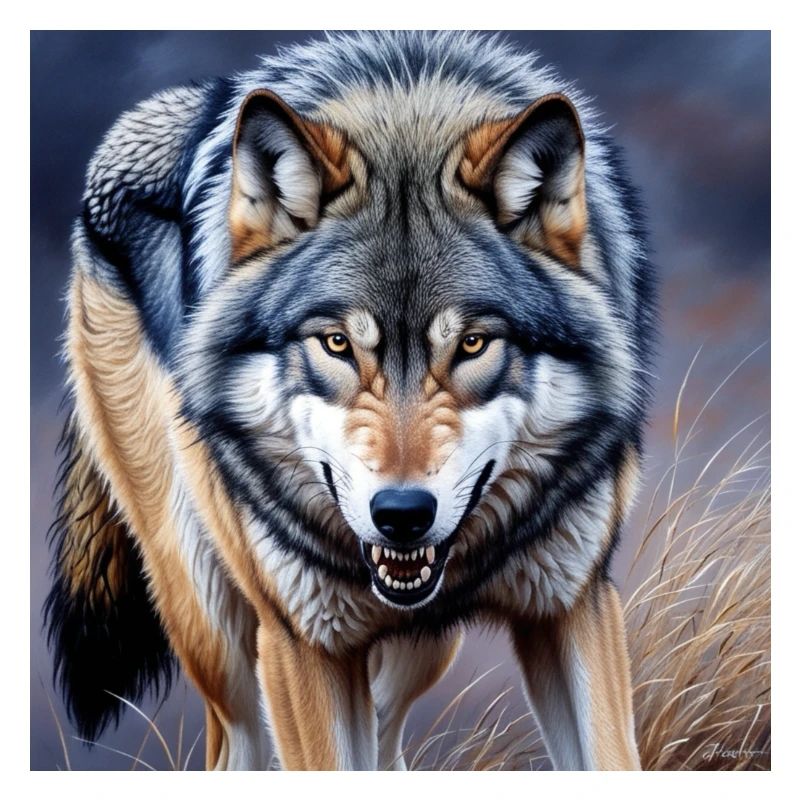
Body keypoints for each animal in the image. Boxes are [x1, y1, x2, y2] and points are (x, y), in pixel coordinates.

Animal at [45, 31, 655, 770]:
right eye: (336, 343)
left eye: (474, 344)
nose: (402, 515)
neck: (406, 119)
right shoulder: (304, 642)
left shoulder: (572, 606)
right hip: (217, 629)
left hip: (422, 647)